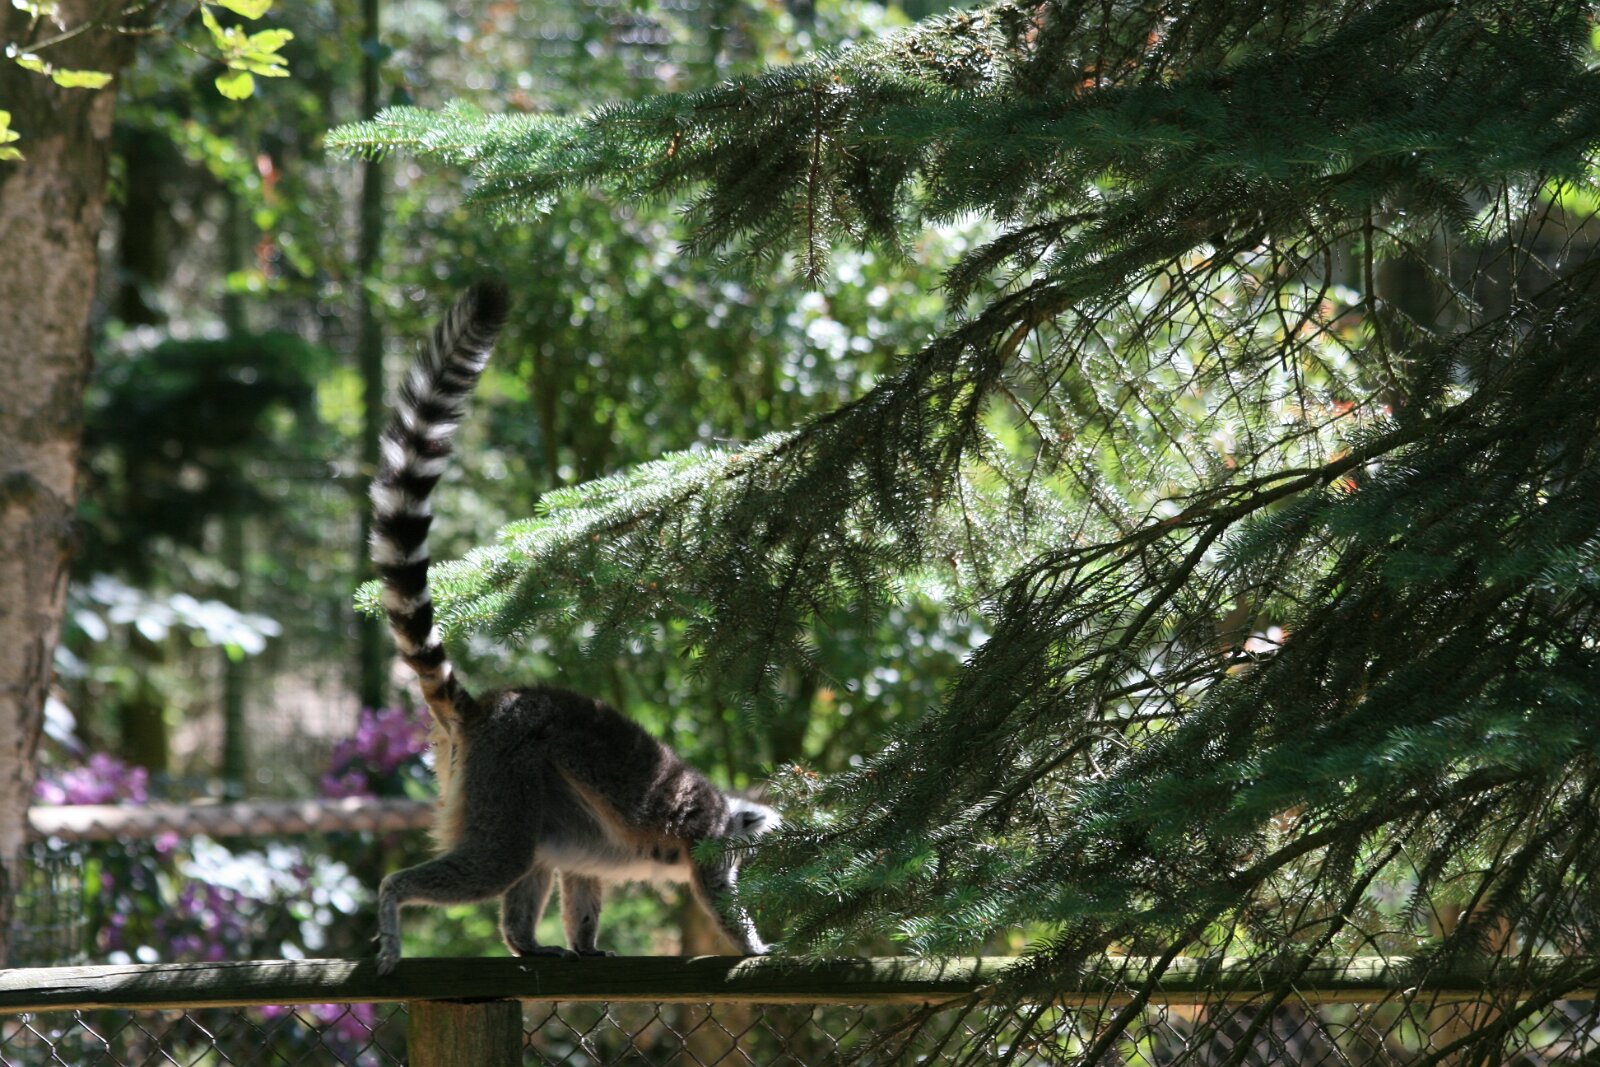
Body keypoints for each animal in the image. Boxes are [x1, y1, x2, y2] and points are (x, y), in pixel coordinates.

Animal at [368, 281, 778, 975]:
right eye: (741, 851)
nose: (753, 856)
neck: (724, 814)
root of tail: (487, 710)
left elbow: (582, 882)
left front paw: (586, 944)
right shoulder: (705, 839)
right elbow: (717, 896)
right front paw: (760, 946)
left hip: (522, 785)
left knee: (533, 853)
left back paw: (526, 941)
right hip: (506, 770)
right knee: (498, 858)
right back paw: (395, 903)